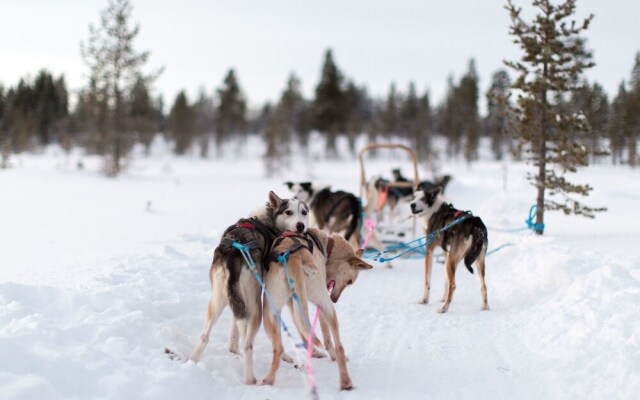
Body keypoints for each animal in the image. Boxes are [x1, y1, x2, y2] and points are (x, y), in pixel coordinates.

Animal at [262, 228, 372, 390]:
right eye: (350, 282)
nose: (335, 299)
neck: (326, 247)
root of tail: (294, 258)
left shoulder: (292, 305)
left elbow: (304, 332)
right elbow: (327, 339)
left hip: (269, 313)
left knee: (279, 348)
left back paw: (268, 380)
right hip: (326, 306)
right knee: (339, 347)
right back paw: (345, 381)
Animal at [410, 186, 490, 314]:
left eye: (422, 199)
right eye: (413, 197)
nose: (412, 204)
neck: (434, 211)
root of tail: (475, 225)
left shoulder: (429, 251)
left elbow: (427, 281)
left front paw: (424, 300)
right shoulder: (446, 254)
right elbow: (446, 280)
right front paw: (443, 297)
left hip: (453, 260)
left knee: (453, 286)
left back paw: (444, 308)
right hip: (477, 261)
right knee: (483, 286)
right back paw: (485, 306)